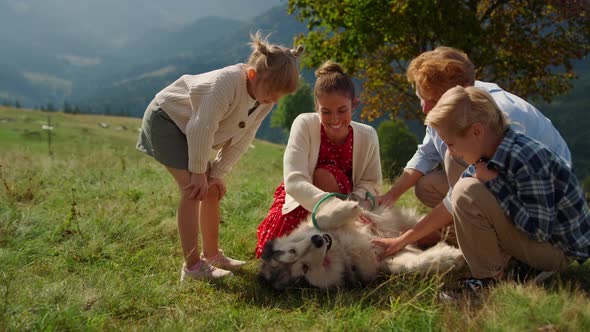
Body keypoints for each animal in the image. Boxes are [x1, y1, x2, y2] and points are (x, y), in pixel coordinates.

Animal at [260, 198, 468, 290]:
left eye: (292, 251)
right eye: (305, 268)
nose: (318, 241)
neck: (341, 249)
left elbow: (321, 218)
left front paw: (348, 207)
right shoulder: (384, 256)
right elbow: (406, 264)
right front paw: (449, 257)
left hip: (407, 219)